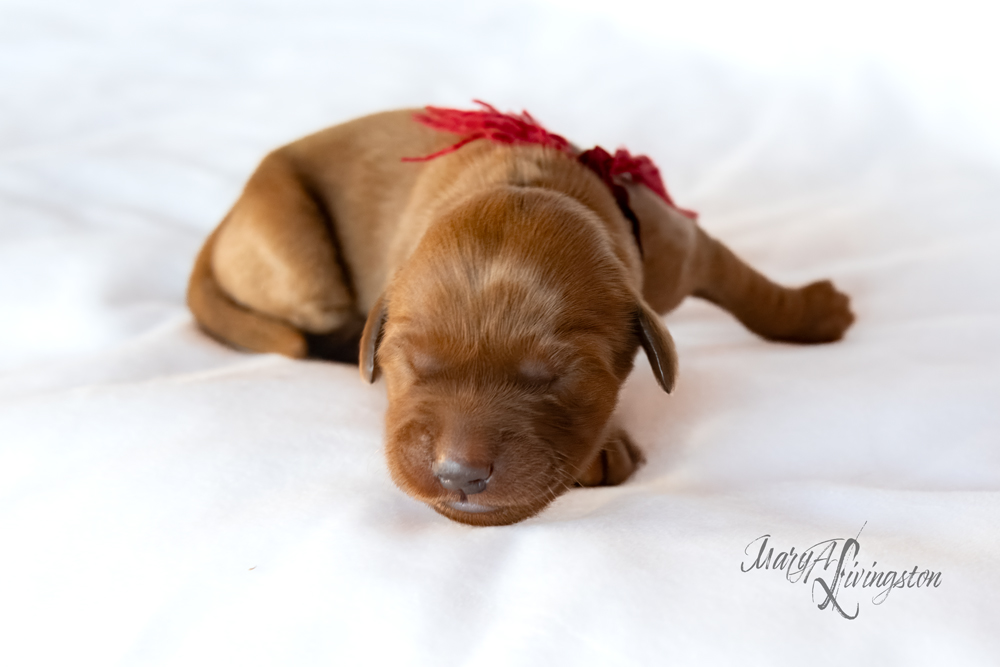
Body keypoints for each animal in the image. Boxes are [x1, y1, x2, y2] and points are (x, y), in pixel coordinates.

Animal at [188, 107, 852, 528]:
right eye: (411, 364)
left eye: (558, 378)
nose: (459, 473)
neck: (528, 181)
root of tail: (230, 211)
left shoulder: (678, 247)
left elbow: (745, 283)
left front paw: (814, 314)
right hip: (297, 255)